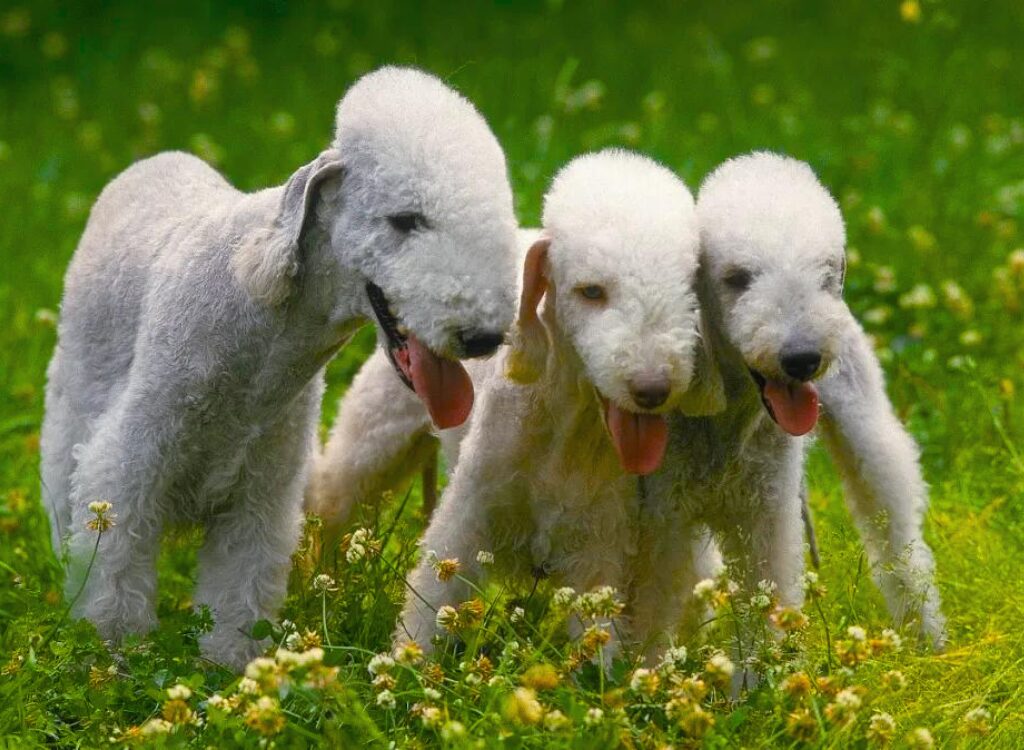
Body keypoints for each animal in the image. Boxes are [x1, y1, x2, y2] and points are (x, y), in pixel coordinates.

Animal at [39, 66, 520, 668]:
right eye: (405, 220)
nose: (483, 337)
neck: (262, 328)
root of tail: (150, 164)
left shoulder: (262, 494)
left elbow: (238, 592)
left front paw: (229, 668)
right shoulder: (130, 467)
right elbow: (115, 580)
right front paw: (115, 660)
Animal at [389, 152, 720, 655]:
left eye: (687, 288)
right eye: (591, 291)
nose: (652, 389)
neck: (569, 426)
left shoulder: (599, 544)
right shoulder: (469, 514)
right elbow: (430, 603)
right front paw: (404, 665)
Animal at [643, 152, 946, 651]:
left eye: (825, 274)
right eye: (737, 279)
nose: (802, 359)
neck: (726, 412)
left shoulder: (766, 513)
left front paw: (760, 674)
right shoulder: (664, 513)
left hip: (865, 427)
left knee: (897, 535)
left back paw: (928, 640)